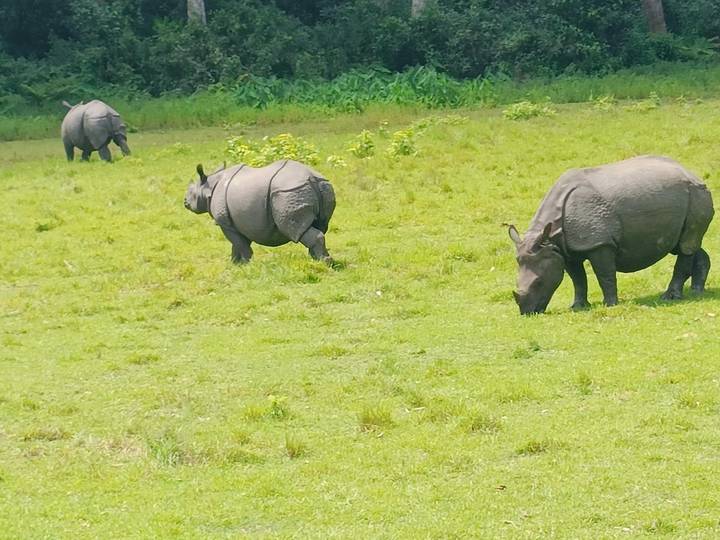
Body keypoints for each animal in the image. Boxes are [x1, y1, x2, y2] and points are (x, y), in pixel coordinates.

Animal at [184, 159, 336, 264]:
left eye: (191, 192)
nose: (185, 202)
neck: (210, 186)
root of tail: (312, 178)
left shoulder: (225, 222)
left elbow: (239, 243)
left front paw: (244, 264)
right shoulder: (240, 222)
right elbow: (238, 244)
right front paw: (235, 263)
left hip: (289, 192)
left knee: (293, 228)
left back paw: (323, 263)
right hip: (322, 187)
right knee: (319, 226)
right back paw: (318, 261)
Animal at [508, 155, 714, 315]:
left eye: (538, 282)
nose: (526, 312)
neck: (550, 237)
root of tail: (692, 173)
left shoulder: (600, 243)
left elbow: (604, 274)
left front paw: (610, 304)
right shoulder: (565, 249)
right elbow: (578, 278)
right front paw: (578, 306)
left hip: (697, 194)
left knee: (686, 246)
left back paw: (670, 297)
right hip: (686, 198)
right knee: (686, 244)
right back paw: (697, 292)